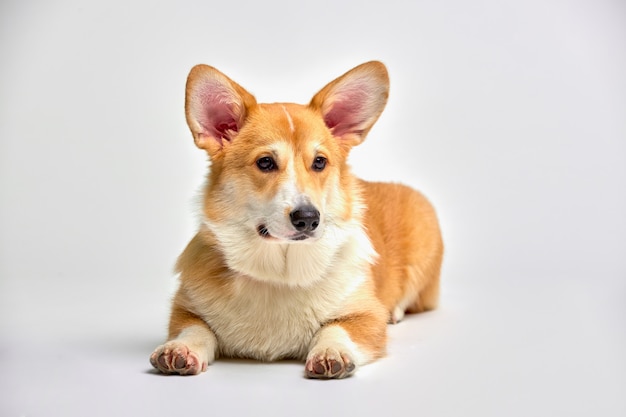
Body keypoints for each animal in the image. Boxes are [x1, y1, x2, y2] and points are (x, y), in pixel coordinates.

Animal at [150, 61, 444, 376]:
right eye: (265, 162)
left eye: (320, 162)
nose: (308, 218)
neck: (280, 273)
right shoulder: (186, 309)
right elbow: (194, 329)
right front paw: (179, 349)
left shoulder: (365, 316)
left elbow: (336, 329)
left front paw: (332, 352)